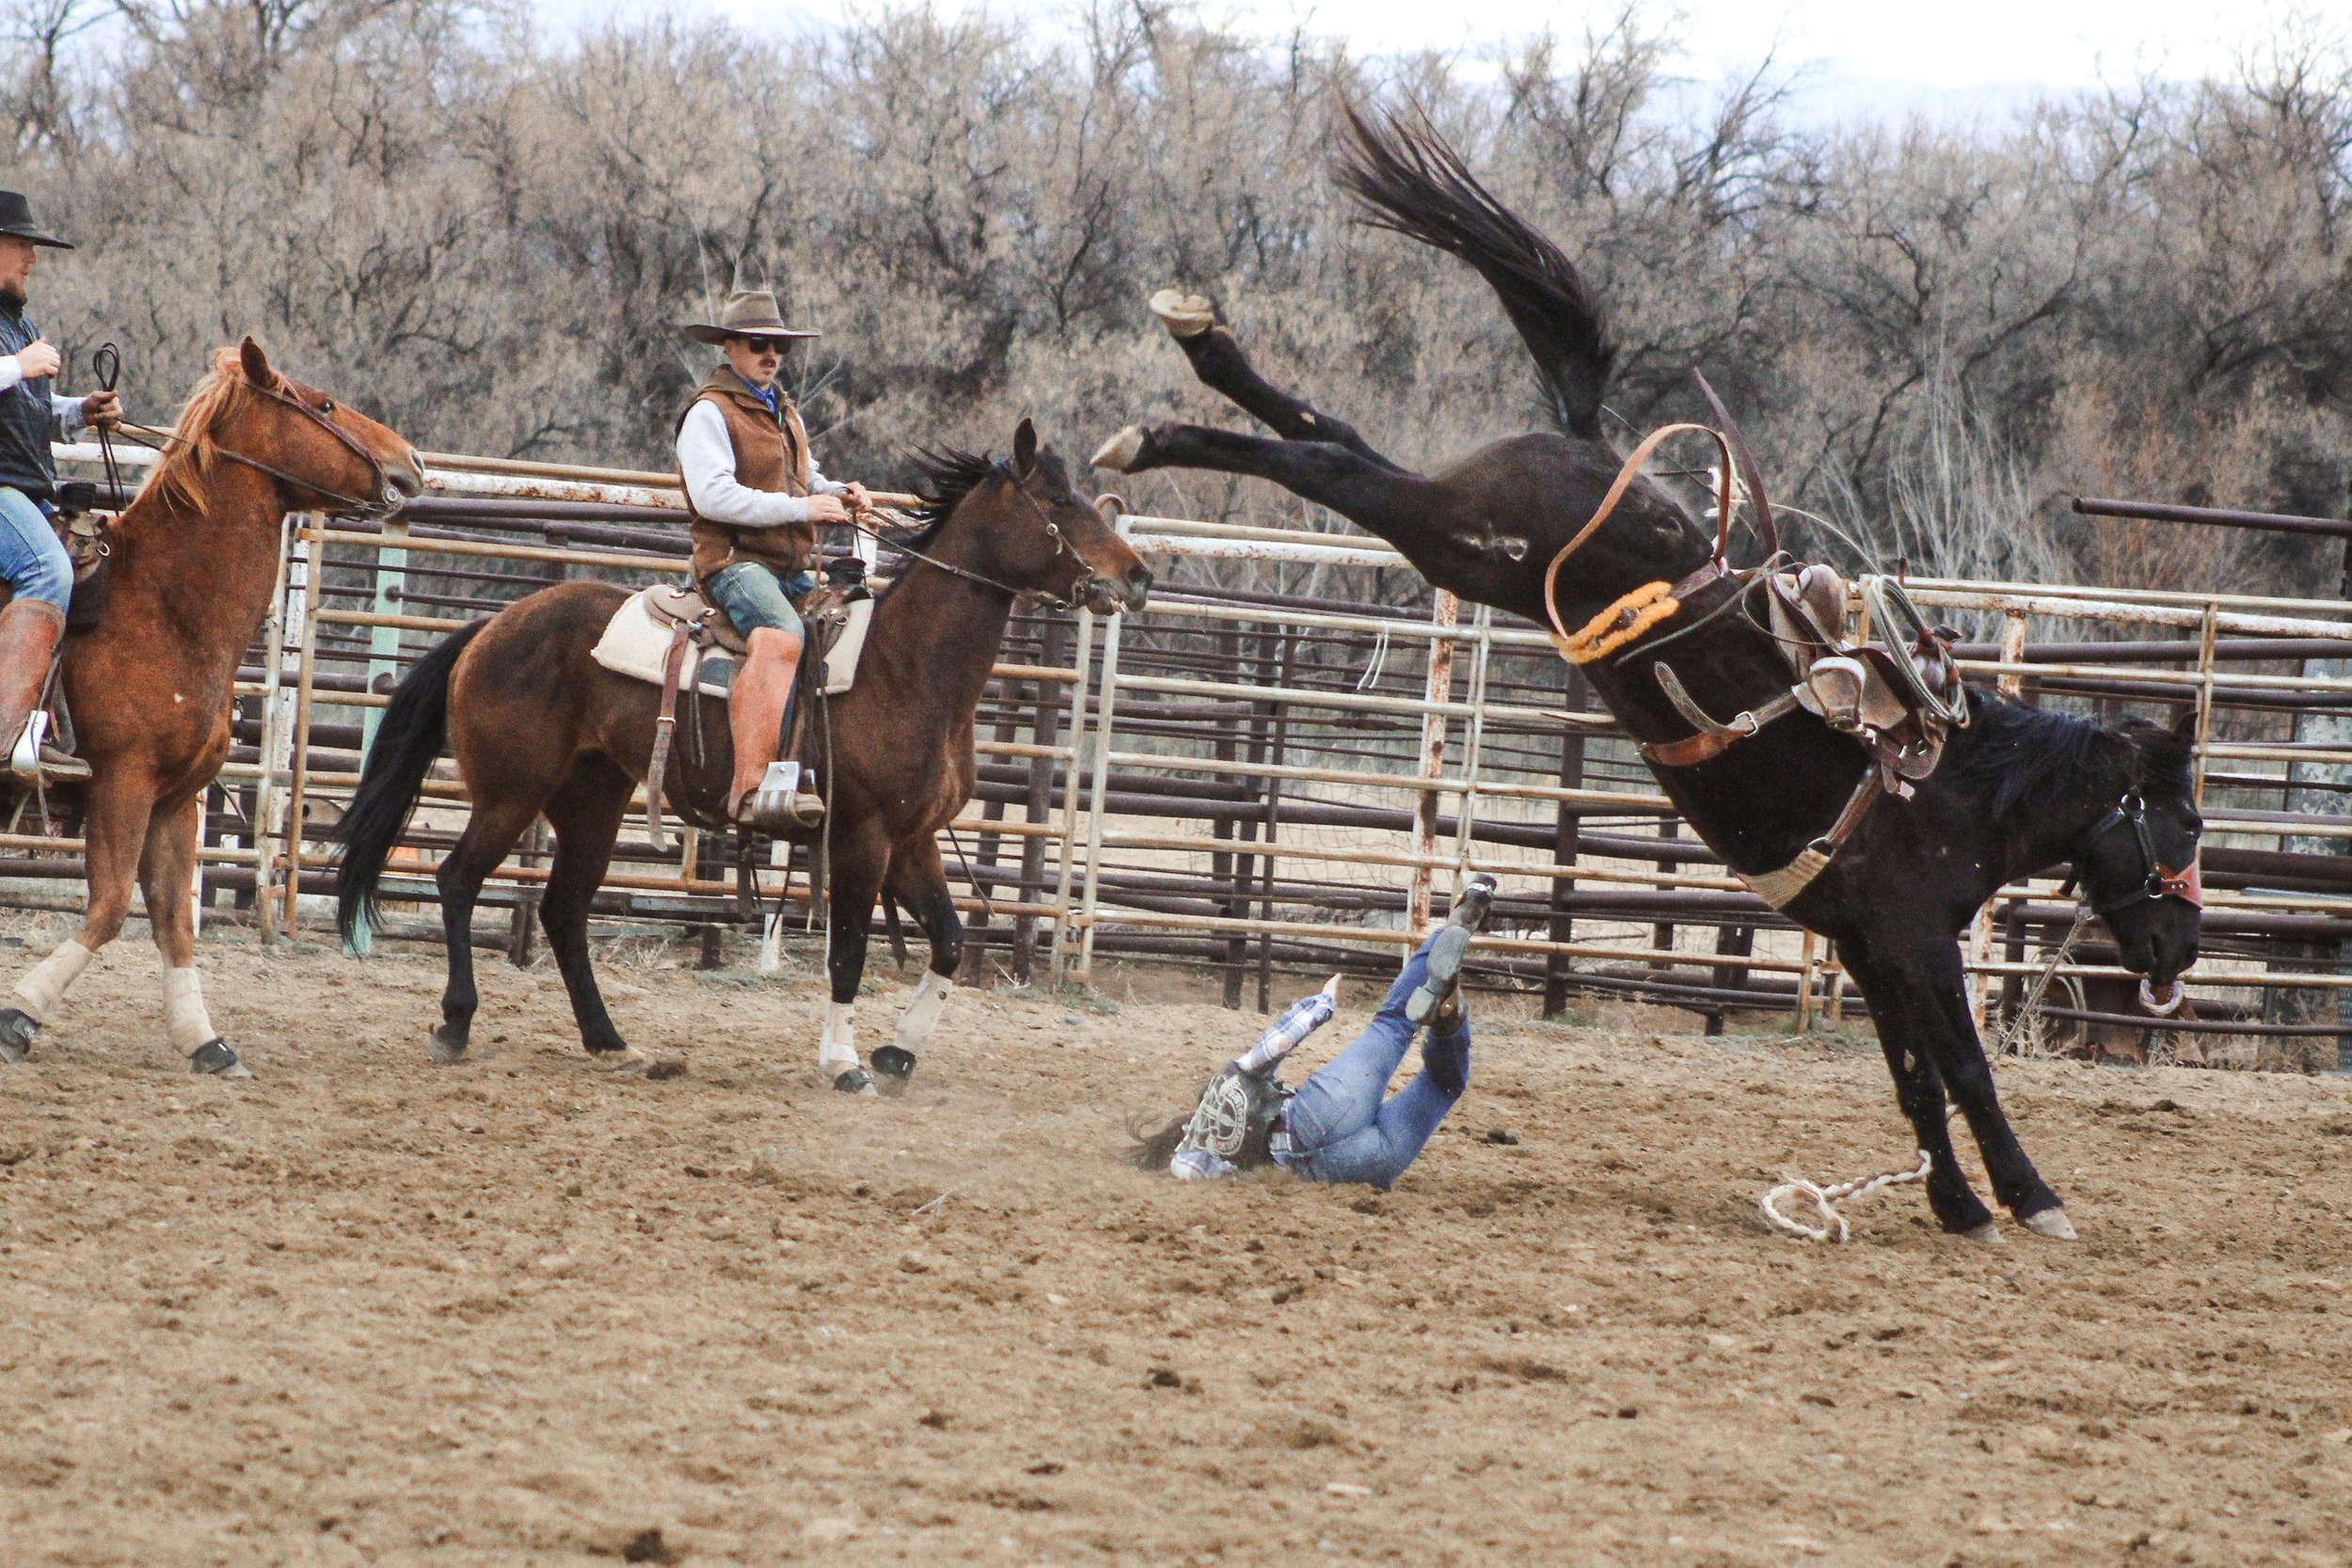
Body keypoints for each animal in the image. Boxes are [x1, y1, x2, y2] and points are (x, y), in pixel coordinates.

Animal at [0, 338, 423, 1075]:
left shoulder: (174, 797)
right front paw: (19, 1015)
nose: (413, 463)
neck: (164, 604)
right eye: (323, 405)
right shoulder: (123, 782)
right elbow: (112, 907)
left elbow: (173, 921)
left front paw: (206, 1041)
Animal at [333, 419, 1151, 1092]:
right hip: (509, 793)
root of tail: (491, 628)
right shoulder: (861, 837)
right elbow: (849, 951)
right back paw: (456, 1021)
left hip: (593, 800)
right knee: (457, 879)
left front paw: (899, 1051)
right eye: (1058, 499)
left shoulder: (914, 839)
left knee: (564, 908)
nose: (1138, 576)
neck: (903, 665)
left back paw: (610, 1039)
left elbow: (949, 942)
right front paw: (845, 1062)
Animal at [1092, 107, 2203, 1243]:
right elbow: (1967, 1073)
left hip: (1454, 529)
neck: (1948, 786)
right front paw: (2029, 1198)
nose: (2177, 951)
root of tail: (1596, 449)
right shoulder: (1917, 944)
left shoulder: (1870, 948)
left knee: (1334, 435)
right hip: (1457, 536)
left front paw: (1958, 1201)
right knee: (1334, 464)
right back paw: (1161, 411)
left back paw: (1187, 363)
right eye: (2188, 824)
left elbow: (1916, 1084)